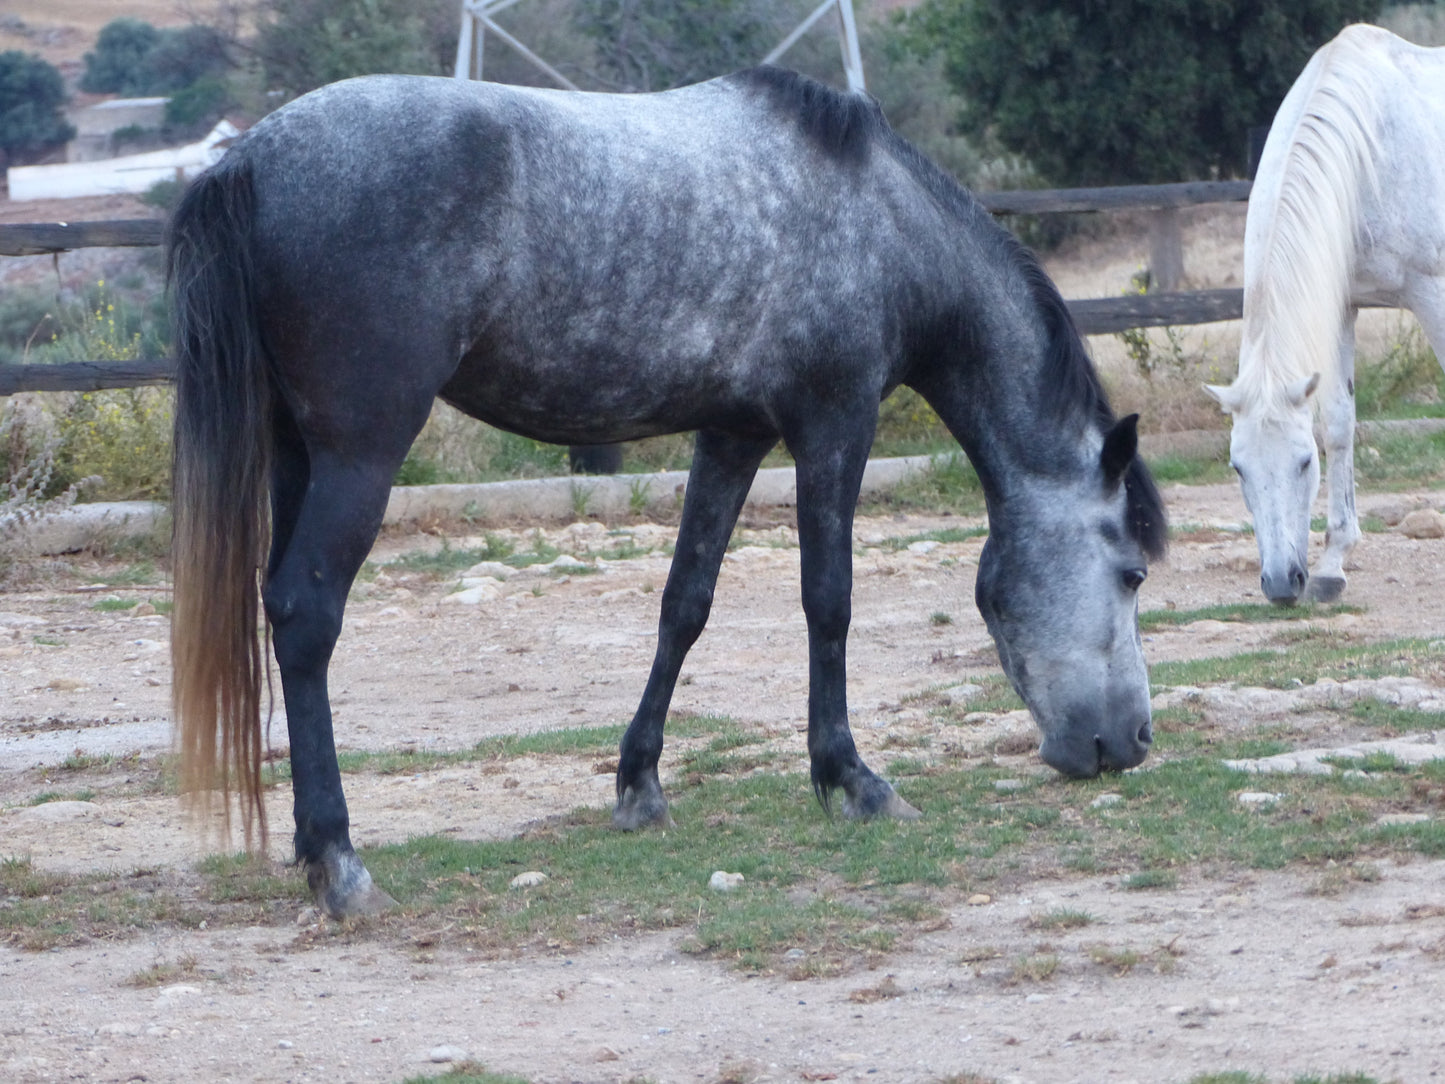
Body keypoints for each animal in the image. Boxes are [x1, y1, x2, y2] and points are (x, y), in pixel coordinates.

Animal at [167, 67, 1168, 918]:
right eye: (1130, 573)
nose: (1129, 745)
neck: (880, 216)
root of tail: (253, 160)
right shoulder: (832, 423)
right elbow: (828, 602)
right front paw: (851, 779)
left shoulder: (732, 435)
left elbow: (685, 602)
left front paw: (639, 786)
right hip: (360, 453)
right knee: (306, 616)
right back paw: (339, 862)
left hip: (297, 452)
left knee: (278, 609)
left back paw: (312, 851)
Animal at [1206, 24, 1445, 604]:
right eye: (1238, 468)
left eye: (1303, 462)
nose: (1279, 584)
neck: (1369, 157)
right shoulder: (1341, 304)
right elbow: (1340, 422)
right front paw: (1334, 562)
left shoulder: (1433, 292)